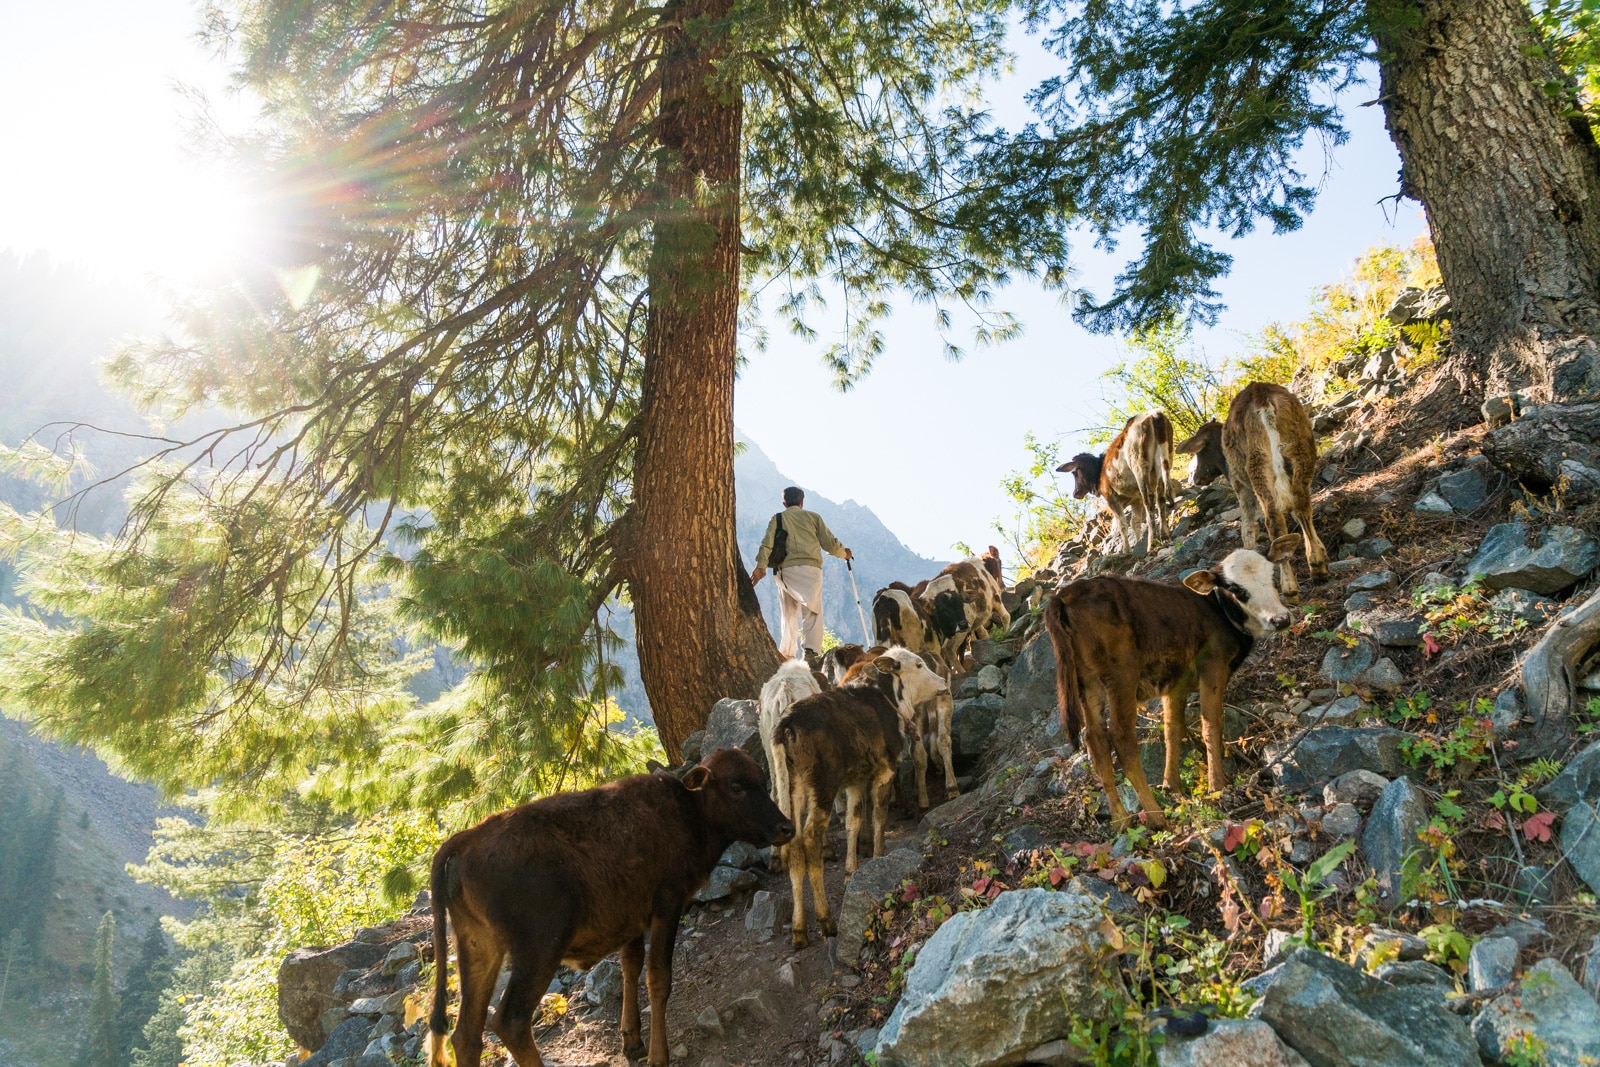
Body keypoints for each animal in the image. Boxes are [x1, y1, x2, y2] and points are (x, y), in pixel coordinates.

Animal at [425, 748, 793, 1062]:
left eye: (761, 778)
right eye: (736, 787)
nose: (786, 827)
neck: (689, 811)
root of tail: (465, 841)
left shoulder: (632, 918)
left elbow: (631, 966)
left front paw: (632, 1040)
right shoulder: (667, 904)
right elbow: (658, 978)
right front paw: (658, 1055)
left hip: (479, 948)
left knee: (466, 1035)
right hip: (539, 949)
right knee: (510, 1021)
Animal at [1049, 537, 1299, 831]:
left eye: (1272, 575)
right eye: (1236, 589)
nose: (1280, 619)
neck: (1217, 612)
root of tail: (1064, 595)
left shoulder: (1175, 683)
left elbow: (1172, 730)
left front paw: (1171, 786)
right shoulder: (1213, 665)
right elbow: (1211, 725)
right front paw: (1217, 785)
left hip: (1087, 685)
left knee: (1096, 741)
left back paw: (1121, 820)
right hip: (1122, 676)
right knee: (1121, 738)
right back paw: (1157, 816)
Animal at [1062, 412, 1177, 556]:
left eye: (1075, 473)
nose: (1076, 493)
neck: (1099, 471)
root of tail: (1155, 415)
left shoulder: (1111, 498)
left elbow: (1122, 525)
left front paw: (1126, 550)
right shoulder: (1135, 499)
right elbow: (1135, 522)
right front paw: (1137, 542)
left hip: (1139, 467)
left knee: (1150, 502)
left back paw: (1151, 544)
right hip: (1165, 458)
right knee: (1160, 498)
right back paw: (1165, 536)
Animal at [1184, 383, 1331, 601]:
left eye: (1199, 452)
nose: (1194, 477)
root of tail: (1262, 397)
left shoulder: (1239, 485)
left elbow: (1247, 528)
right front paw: (1322, 551)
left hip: (1258, 463)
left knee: (1274, 520)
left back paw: (1290, 588)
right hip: (1301, 450)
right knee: (1302, 504)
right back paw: (1318, 567)